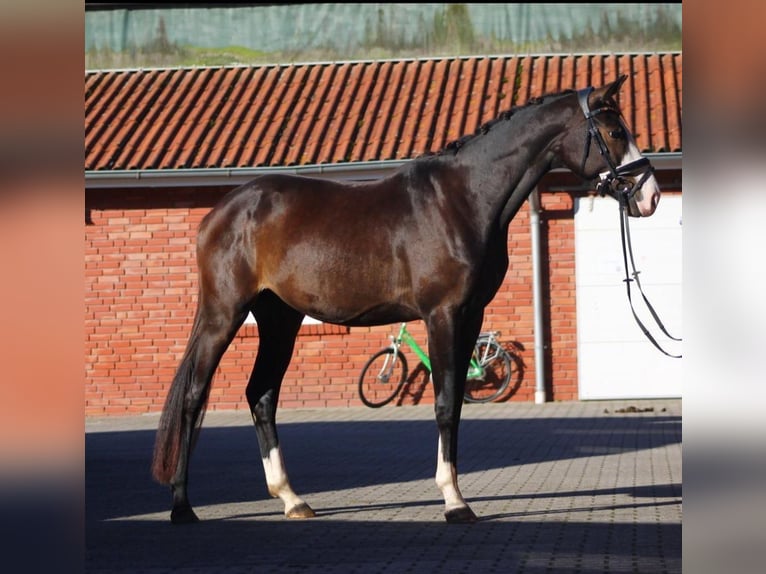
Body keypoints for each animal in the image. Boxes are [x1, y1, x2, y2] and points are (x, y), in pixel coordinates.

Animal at [150, 73, 660, 528]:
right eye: (616, 131)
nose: (650, 196)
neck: (463, 199)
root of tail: (221, 212)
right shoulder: (443, 315)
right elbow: (444, 402)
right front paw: (454, 503)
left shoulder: (470, 316)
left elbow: (456, 404)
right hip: (224, 314)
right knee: (194, 396)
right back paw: (182, 506)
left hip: (280, 319)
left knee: (261, 394)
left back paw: (292, 500)